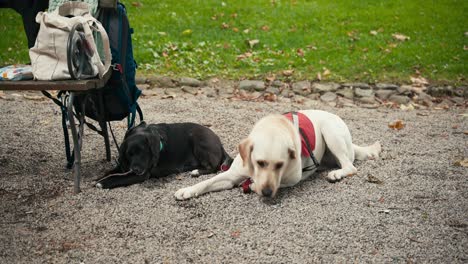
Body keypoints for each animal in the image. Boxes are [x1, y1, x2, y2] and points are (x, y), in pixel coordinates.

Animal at [96, 120, 233, 189]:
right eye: (129, 154)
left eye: (144, 152)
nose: (136, 169)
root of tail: (219, 143)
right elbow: (111, 171)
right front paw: (100, 177)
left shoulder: (142, 174)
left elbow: (118, 178)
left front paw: (102, 183)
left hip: (198, 140)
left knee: (213, 167)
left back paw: (196, 172)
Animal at [176, 110, 380, 200]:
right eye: (259, 163)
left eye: (280, 165)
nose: (267, 193)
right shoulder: (231, 175)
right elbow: (207, 182)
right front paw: (188, 190)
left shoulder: (294, 177)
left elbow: (276, 183)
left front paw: (253, 186)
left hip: (331, 133)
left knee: (350, 166)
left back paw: (337, 173)